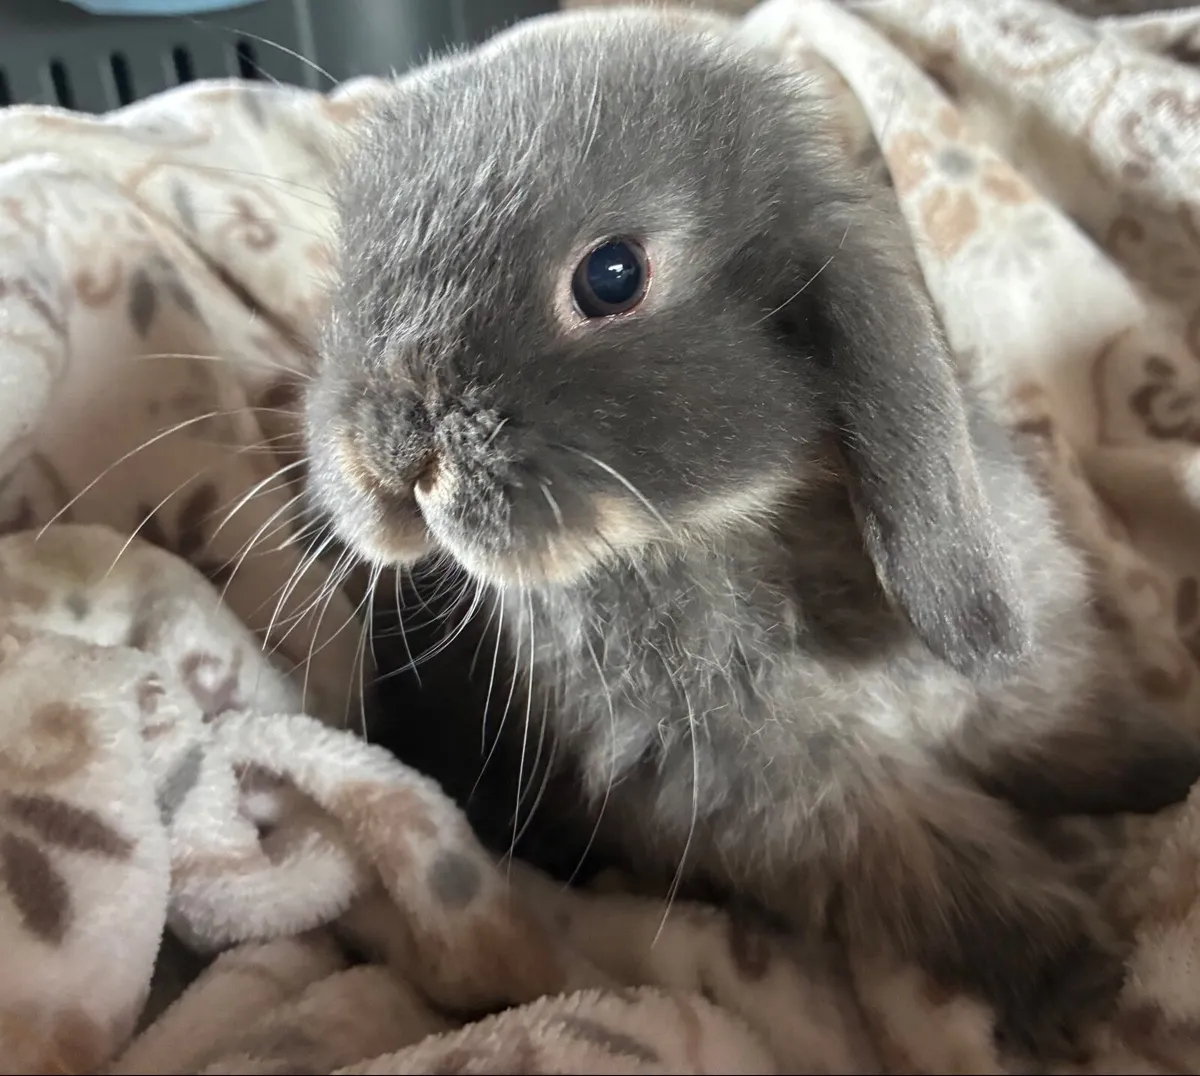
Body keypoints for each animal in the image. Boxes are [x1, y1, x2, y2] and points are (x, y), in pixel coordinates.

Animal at [304, 7, 1200, 1059]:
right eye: (349, 272)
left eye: (612, 276)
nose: (389, 448)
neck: (743, 525)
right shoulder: (792, 795)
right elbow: (947, 873)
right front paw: (1083, 982)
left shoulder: (1022, 689)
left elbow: (1081, 736)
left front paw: (1172, 770)